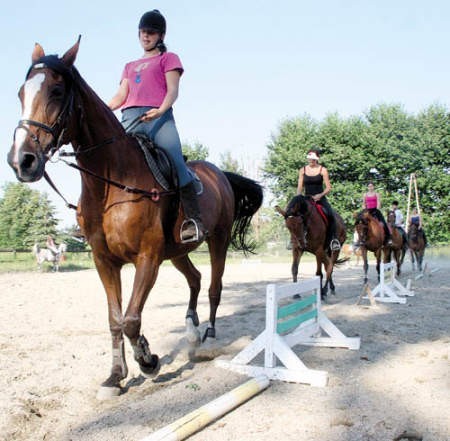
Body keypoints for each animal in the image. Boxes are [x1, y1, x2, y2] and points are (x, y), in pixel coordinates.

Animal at [6, 39, 264, 398]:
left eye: (56, 92)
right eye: (20, 93)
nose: (22, 161)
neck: (110, 182)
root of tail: (219, 174)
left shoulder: (148, 258)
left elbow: (131, 319)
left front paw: (148, 360)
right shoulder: (105, 261)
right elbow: (116, 319)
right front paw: (115, 376)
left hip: (218, 239)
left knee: (214, 287)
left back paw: (209, 338)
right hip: (178, 250)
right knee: (195, 279)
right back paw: (190, 331)